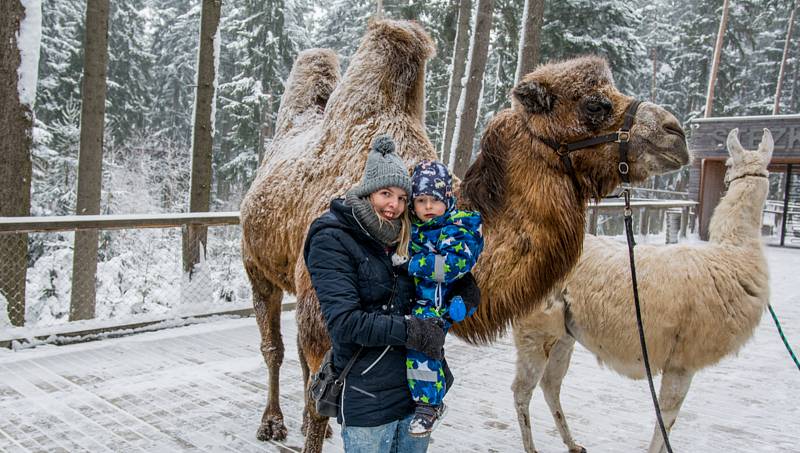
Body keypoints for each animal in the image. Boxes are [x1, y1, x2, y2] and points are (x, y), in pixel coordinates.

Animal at [238, 18, 688, 452]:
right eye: (595, 104)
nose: (676, 133)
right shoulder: (321, 309)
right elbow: (319, 392)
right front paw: (310, 426)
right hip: (255, 266)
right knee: (274, 348)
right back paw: (271, 423)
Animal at [512, 128, 776, 452]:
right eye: (727, 164)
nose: (727, 179)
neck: (733, 254)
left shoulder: (681, 359)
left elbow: (668, 419)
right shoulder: (683, 359)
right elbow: (666, 418)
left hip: (564, 333)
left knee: (551, 384)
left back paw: (573, 443)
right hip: (536, 329)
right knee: (522, 389)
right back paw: (532, 447)